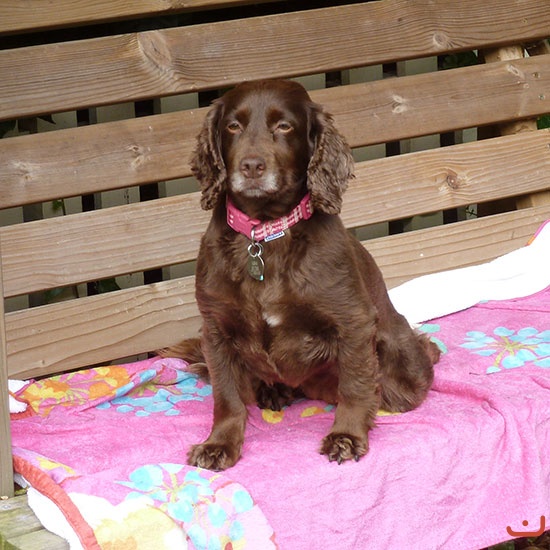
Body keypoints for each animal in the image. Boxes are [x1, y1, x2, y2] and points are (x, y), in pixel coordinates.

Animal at [161, 79, 439, 471]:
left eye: (284, 126)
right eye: (233, 126)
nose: (251, 166)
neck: (265, 236)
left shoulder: (353, 322)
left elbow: (356, 385)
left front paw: (346, 436)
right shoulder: (215, 328)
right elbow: (227, 397)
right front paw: (219, 444)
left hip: (401, 365)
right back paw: (272, 390)